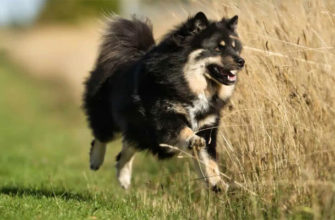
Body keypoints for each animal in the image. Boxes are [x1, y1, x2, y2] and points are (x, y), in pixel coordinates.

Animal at [82, 11, 245, 192]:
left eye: (235, 47)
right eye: (218, 48)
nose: (241, 61)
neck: (187, 82)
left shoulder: (207, 126)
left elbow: (208, 159)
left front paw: (217, 182)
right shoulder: (164, 116)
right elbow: (184, 130)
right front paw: (192, 139)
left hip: (139, 130)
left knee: (126, 149)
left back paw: (123, 178)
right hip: (113, 121)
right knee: (101, 136)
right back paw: (95, 160)